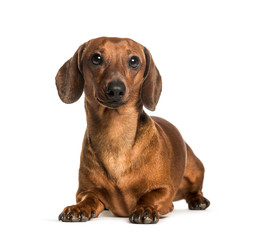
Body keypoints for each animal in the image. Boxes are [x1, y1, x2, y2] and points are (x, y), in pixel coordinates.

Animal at [55, 36, 210, 224]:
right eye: (96, 58)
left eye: (134, 61)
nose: (115, 90)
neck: (115, 132)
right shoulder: (85, 191)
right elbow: (89, 198)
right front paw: (78, 208)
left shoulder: (164, 190)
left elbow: (150, 197)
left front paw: (144, 208)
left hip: (196, 170)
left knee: (195, 189)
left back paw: (198, 200)